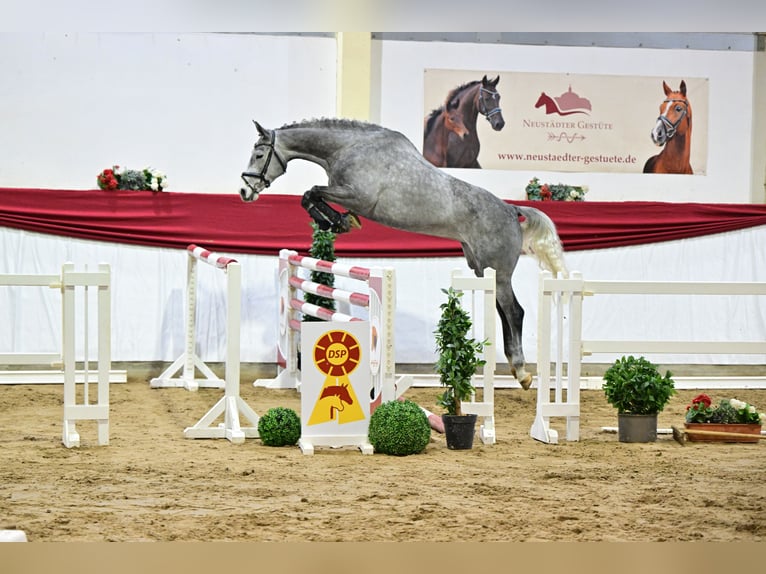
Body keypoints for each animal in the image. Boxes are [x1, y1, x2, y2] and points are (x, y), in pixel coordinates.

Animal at [242, 118, 568, 390]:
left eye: (258, 155)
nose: (246, 192)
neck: (349, 148)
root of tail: (511, 210)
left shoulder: (356, 195)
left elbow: (311, 192)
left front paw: (337, 222)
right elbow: (310, 195)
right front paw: (337, 222)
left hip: (498, 272)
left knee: (514, 312)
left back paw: (522, 373)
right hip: (482, 269)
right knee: (503, 312)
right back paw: (515, 369)